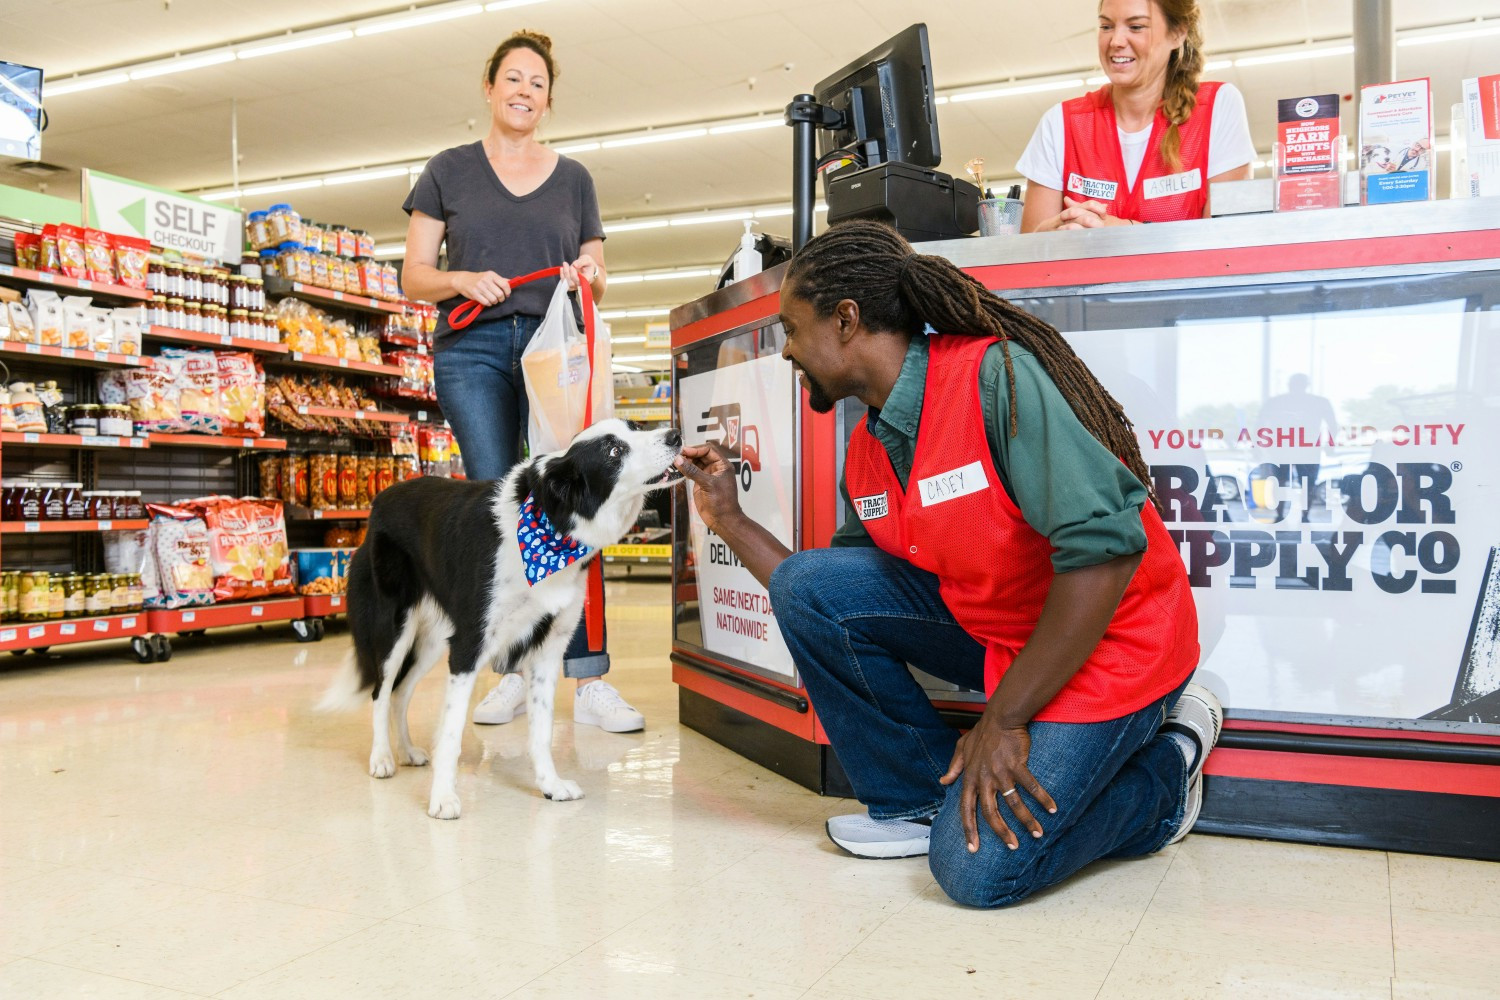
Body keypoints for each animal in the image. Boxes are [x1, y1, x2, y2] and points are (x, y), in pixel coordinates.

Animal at [325, 419, 687, 815]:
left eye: (634, 426)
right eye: (613, 451)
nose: (675, 435)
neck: (549, 529)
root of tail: (379, 502)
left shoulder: (548, 650)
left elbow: (541, 730)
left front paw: (550, 785)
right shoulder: (468, 646)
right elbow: (451, 731)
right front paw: (443, 798)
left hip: (433, 640)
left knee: (401, 692)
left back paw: (406, 751)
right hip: (395, 629)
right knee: (381, 690)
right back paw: (382, 758)